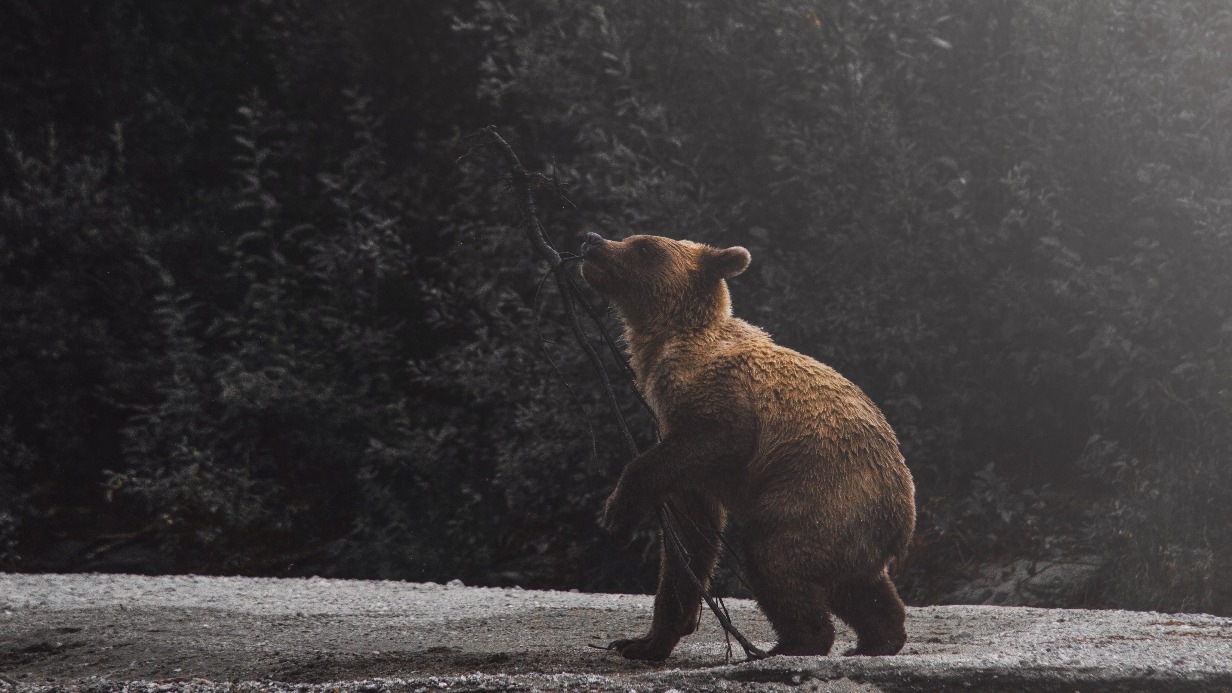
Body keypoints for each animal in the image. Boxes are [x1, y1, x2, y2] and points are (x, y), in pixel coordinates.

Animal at [579, 230, 916, 656]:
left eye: (643, 246)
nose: (592, 240)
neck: (663, 347)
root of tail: (903, 521)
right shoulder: (677, 446)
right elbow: (689, 541)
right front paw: (643, 642)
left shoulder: (718, 401)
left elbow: (716, 440)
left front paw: (616, 519)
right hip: (852, 528)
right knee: (857, 586)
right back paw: (878, 638)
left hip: (823, 493)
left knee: (775, 554)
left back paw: (795, 642)